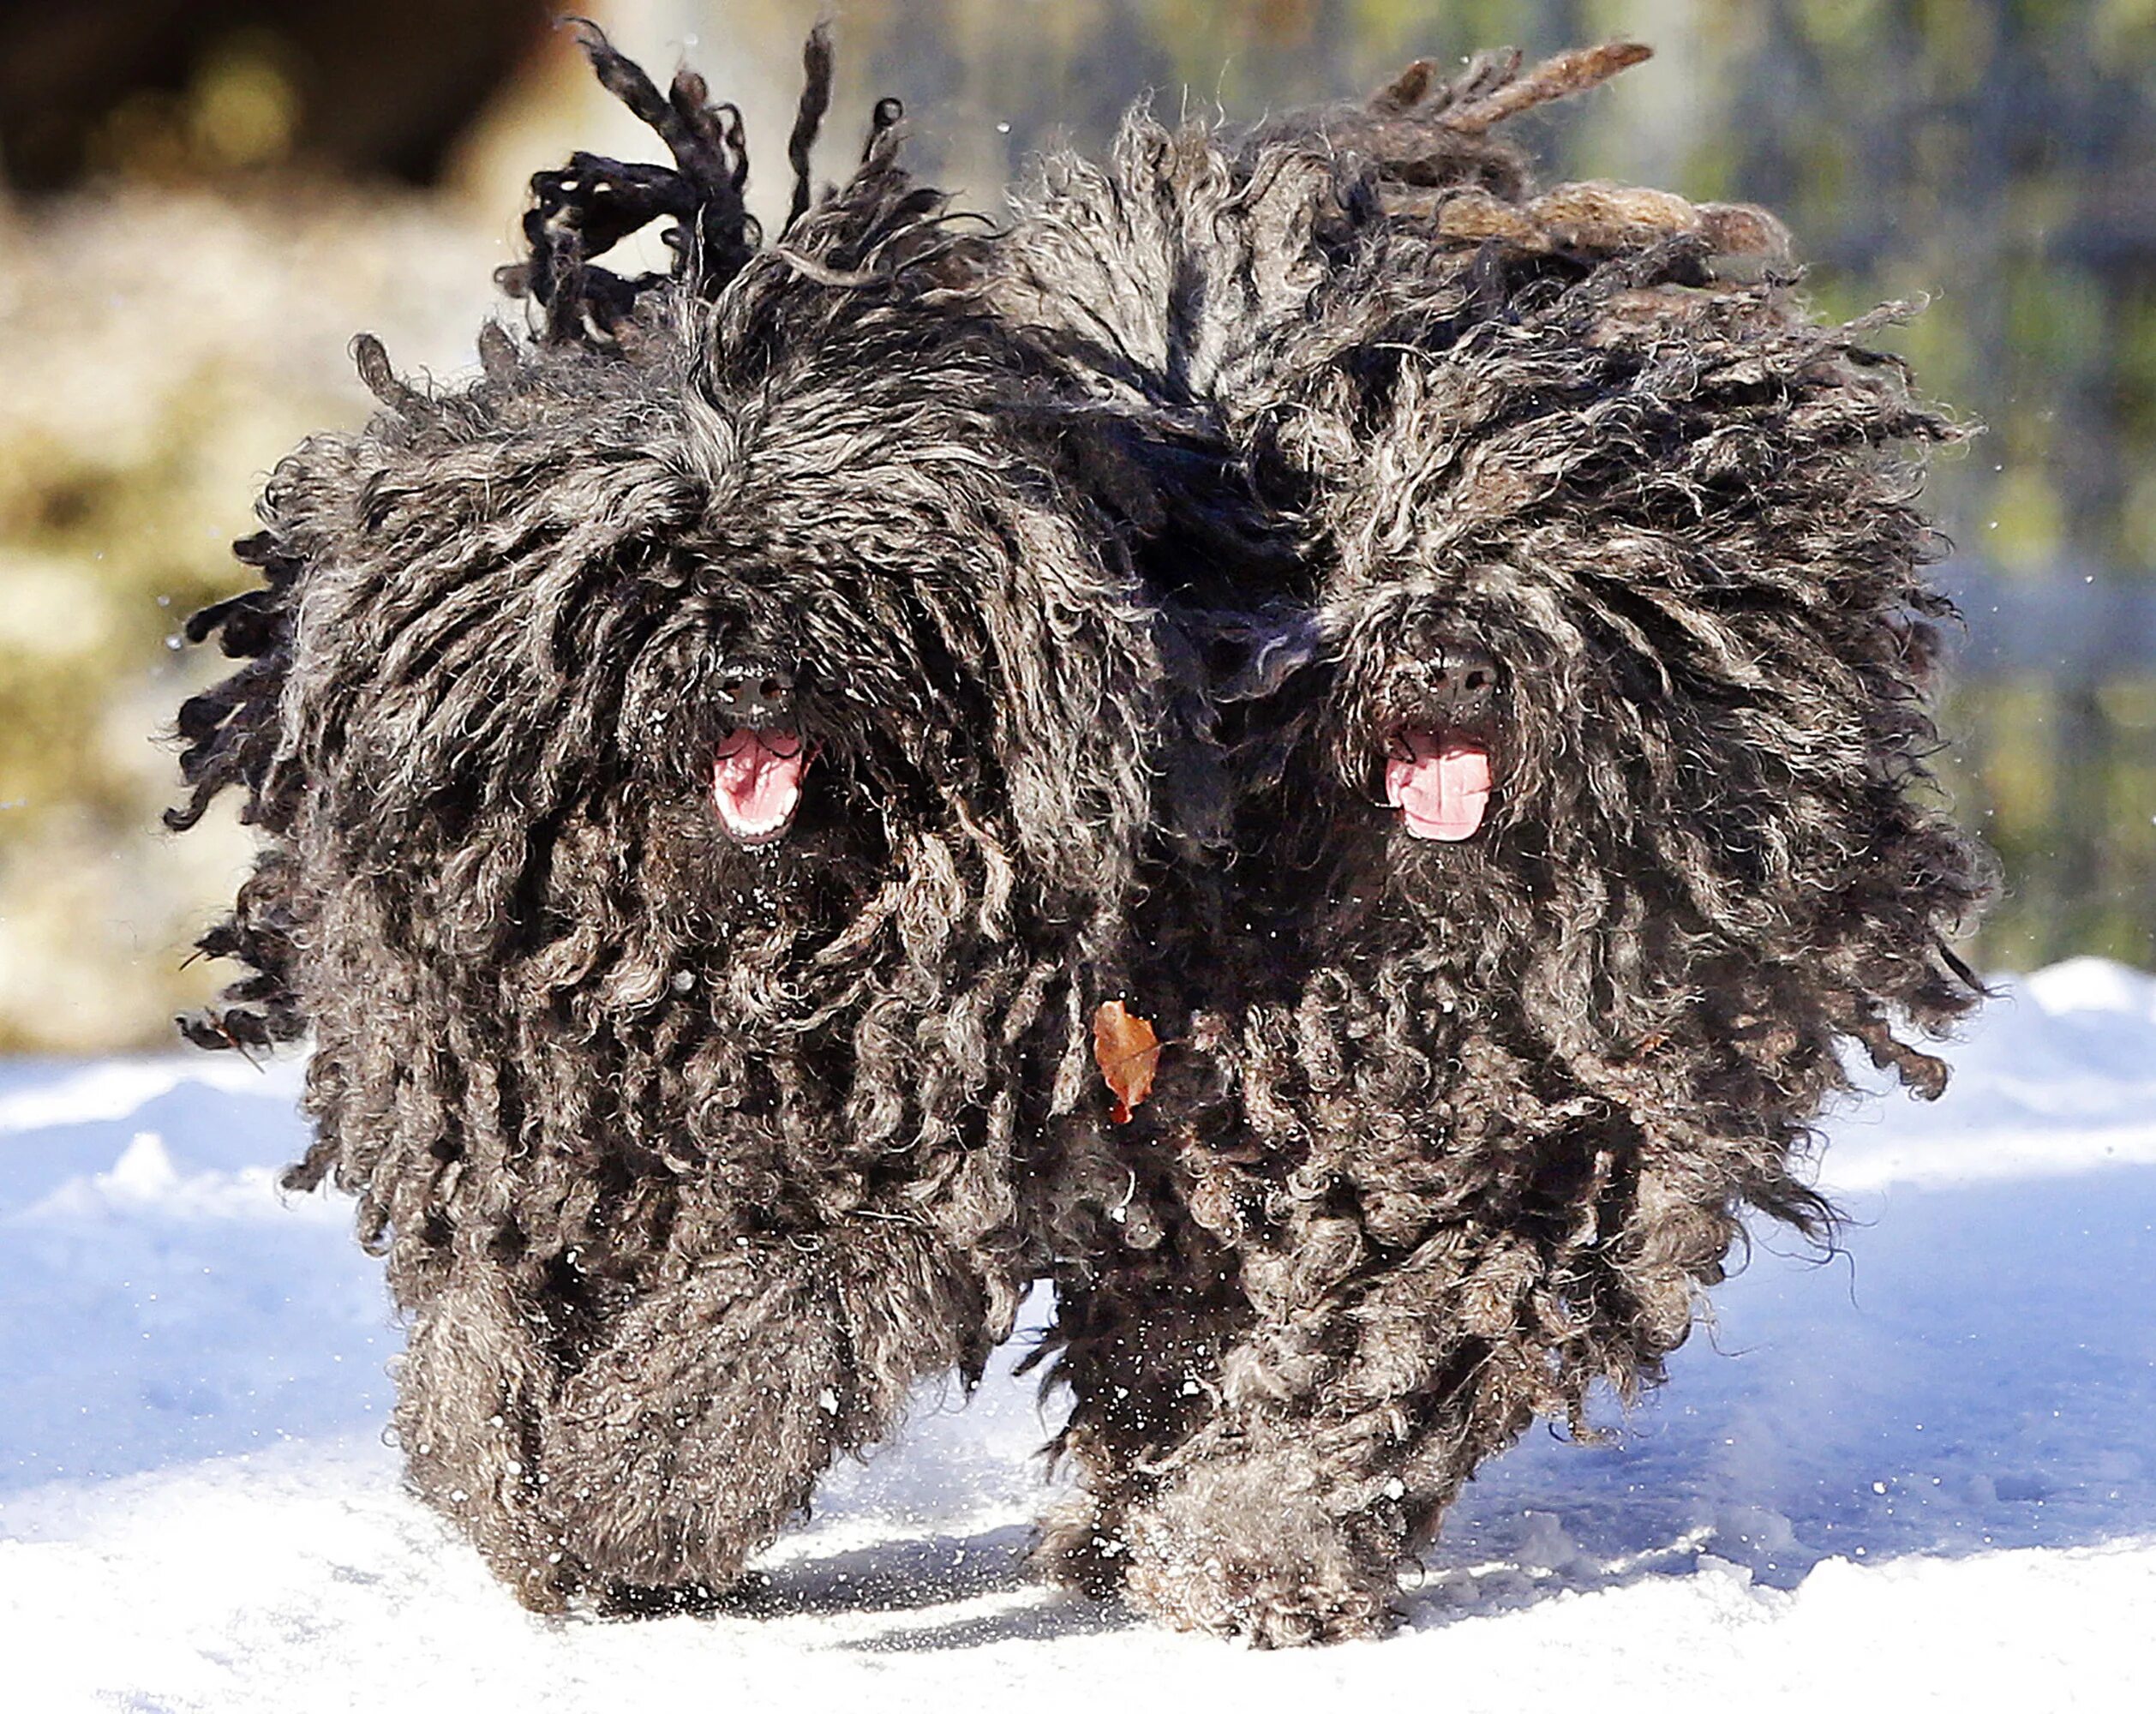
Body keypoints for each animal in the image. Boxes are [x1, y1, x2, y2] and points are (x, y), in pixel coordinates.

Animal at [172, 23, 1181, 1612]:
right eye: (658, 563)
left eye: (845, 570)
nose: (754, 672)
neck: (711, 953)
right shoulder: (488, 1099)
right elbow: (481, 1315)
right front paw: (509, 1487)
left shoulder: (924, 1133)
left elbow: (783, 1320)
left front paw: (644, 1494)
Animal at [979, 43, 1983, 1647]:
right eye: (1323, 520)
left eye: (1556, 528)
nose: (1445, 660)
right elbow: (1174, 1312)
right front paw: (1165, 1522)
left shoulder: (1574, 1137)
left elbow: (1401, 1334)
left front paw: (1264, 1546)